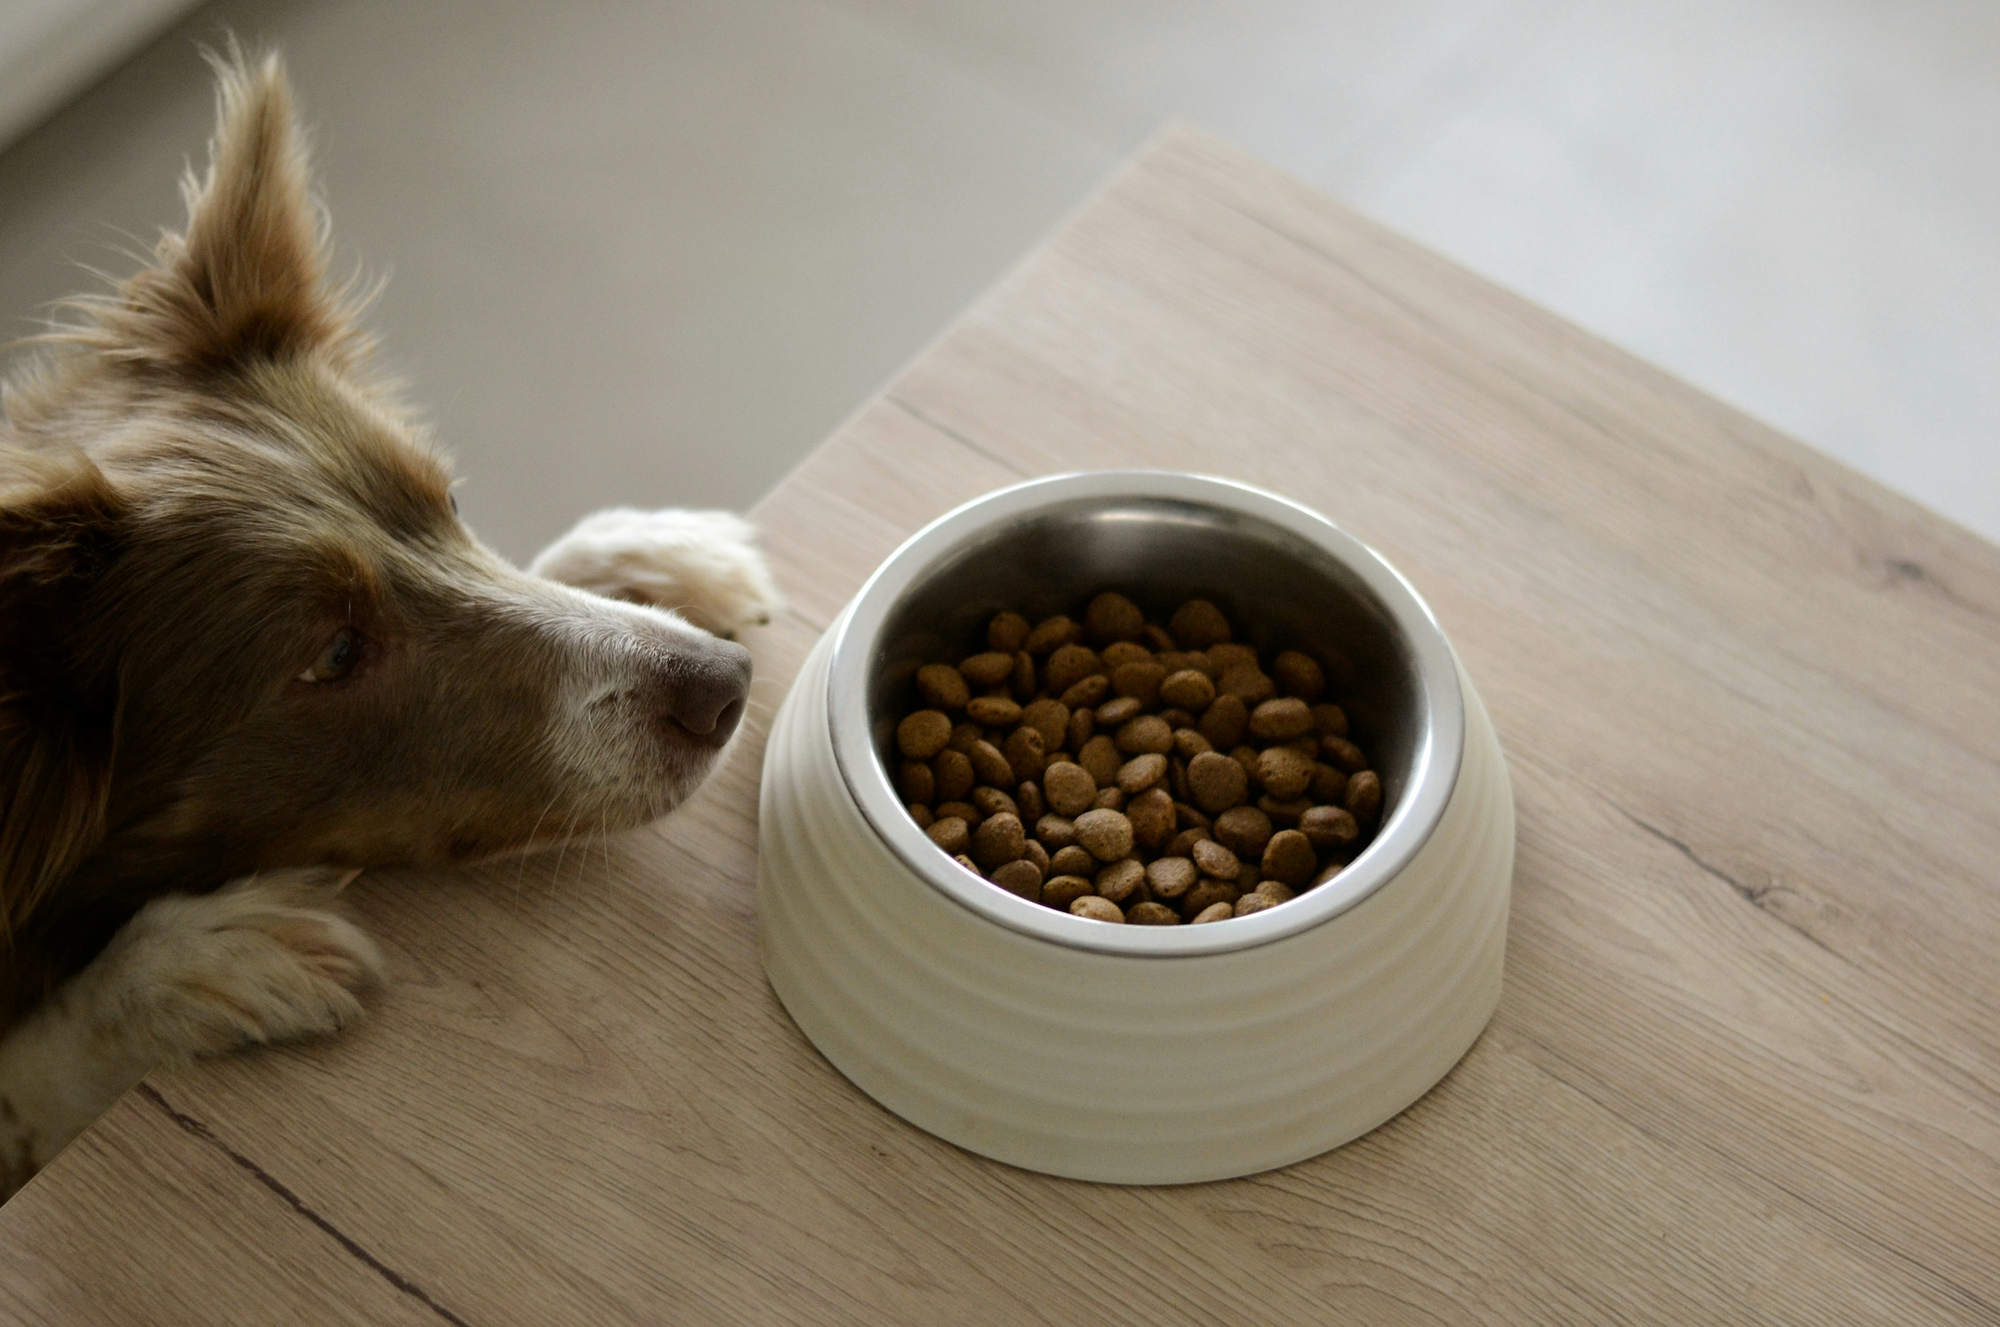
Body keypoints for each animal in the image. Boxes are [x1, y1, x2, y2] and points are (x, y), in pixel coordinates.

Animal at [0, 51, 780, 1199]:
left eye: (447, 501)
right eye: (334, 652)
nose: (723, 686)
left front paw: (646, 552)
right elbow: (26, 1078)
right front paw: (188, 964)